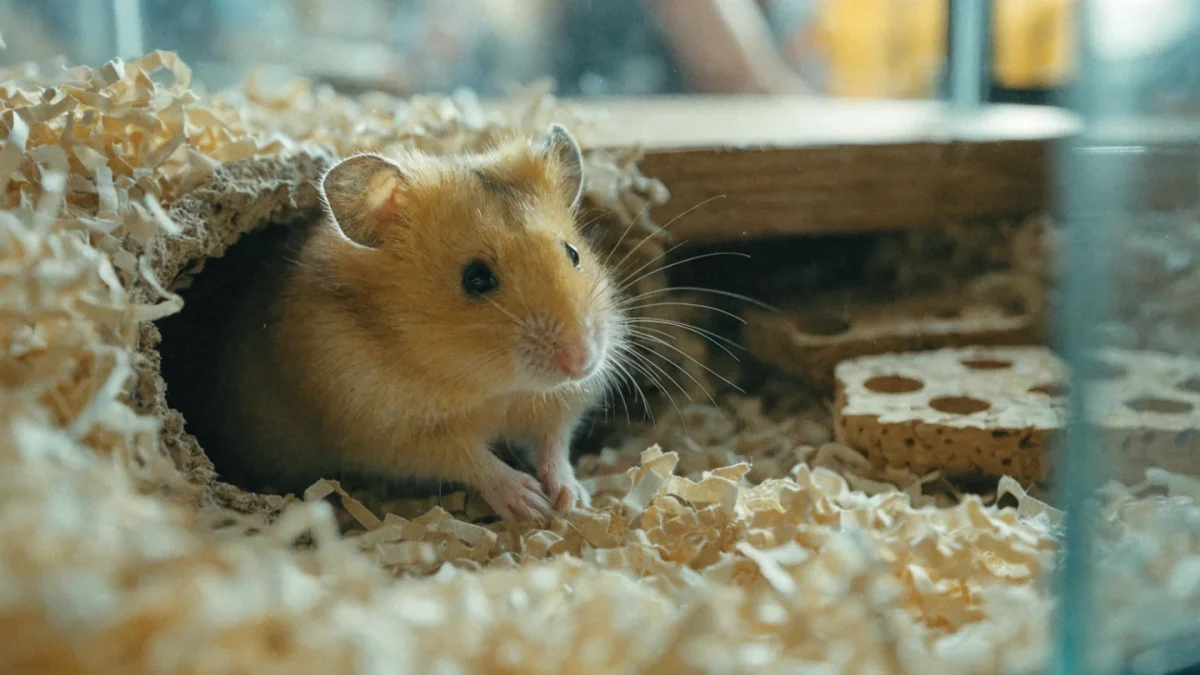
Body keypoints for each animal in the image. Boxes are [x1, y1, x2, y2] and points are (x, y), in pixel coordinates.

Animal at [195, 124, 623, 524]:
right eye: (476, 278)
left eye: (573, 254)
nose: (582, 363)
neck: (495, 389)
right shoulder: (391, 434)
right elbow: (471, 459)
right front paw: (531, 506)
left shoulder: (560, 403)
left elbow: (554, 441)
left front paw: (570, 500)